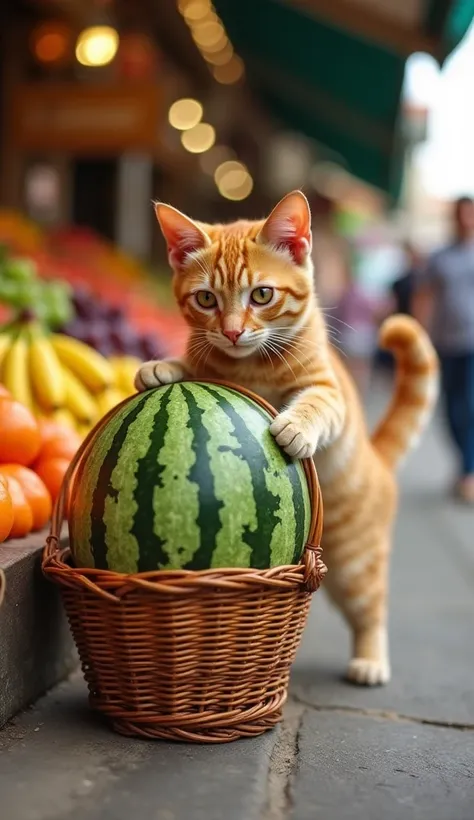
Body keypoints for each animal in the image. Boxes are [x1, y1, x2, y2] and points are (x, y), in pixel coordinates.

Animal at [135, 191, 438, 684]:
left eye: (261, 295)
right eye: (206, 299)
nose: (232, 331)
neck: (251, 368)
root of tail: (378, 459)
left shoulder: (328, 389)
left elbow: (315, 403)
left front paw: (295, 426)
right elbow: (198, 365)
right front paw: (164, 365)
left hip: (355, 565)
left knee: (372, 609)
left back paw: (370, 660)